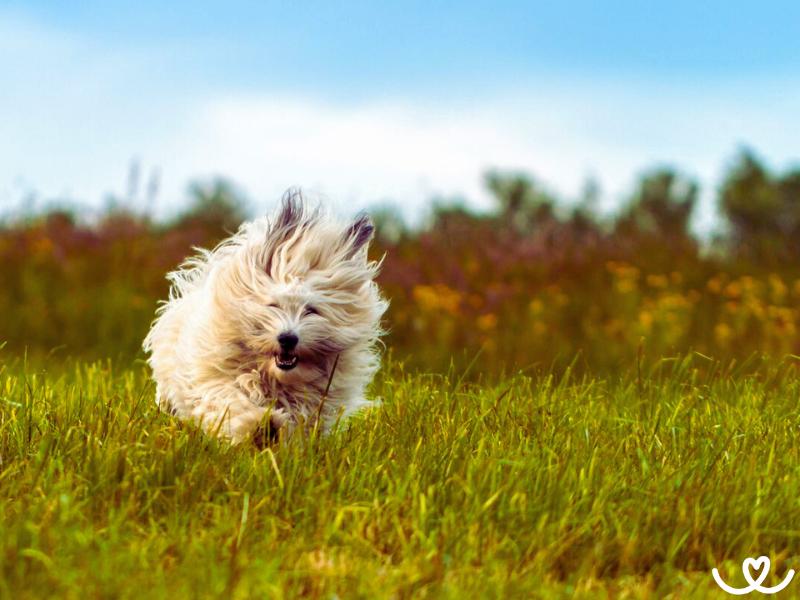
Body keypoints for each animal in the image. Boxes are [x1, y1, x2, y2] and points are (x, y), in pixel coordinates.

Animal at [144, 192, 388, 446]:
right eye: (273, 305)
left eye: (311, 310)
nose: (288, 338)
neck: (273, 376)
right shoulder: (215, 376)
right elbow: (231, 400)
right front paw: (260, 425)